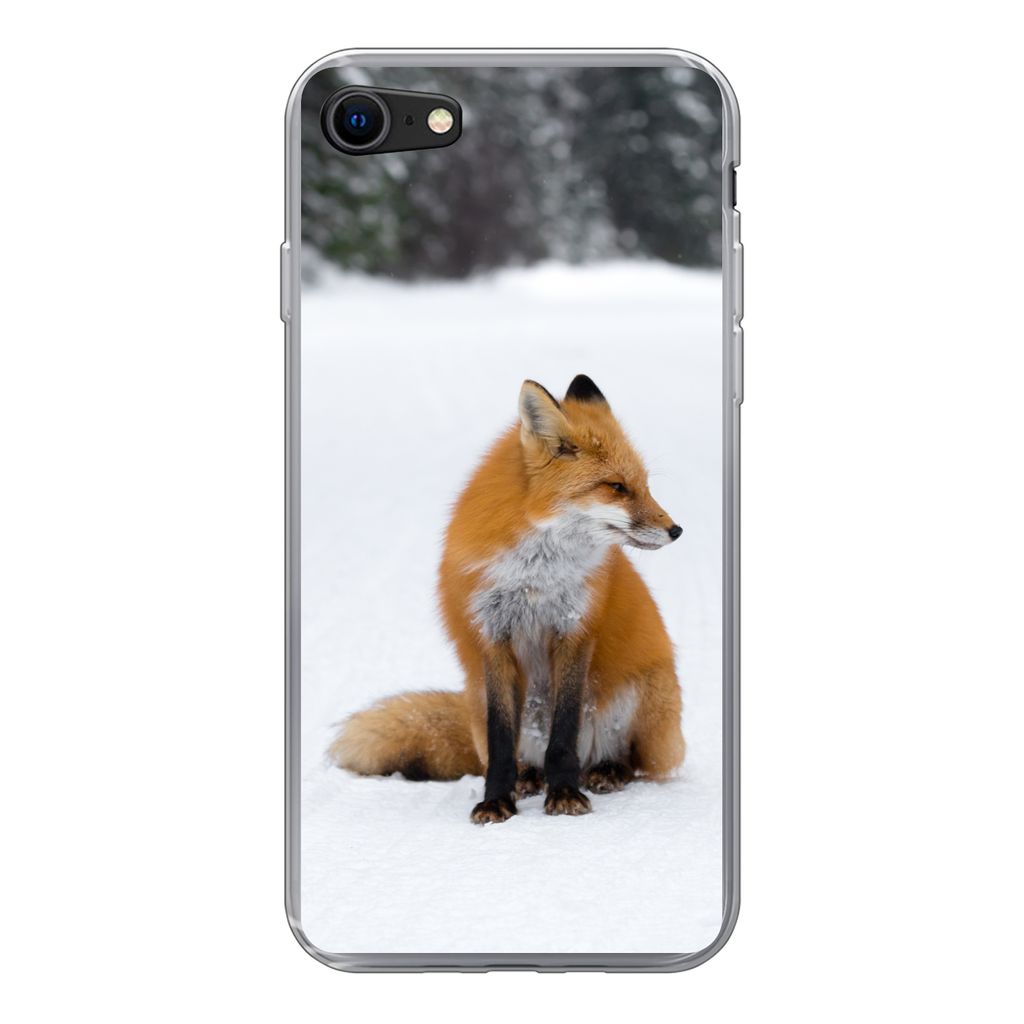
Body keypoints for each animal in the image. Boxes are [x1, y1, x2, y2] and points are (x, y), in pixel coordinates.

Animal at [329, 374, 685, 824]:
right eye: (617, 487)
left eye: (644, 485)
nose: (677, 530)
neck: (534, 577)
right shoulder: (492, 636)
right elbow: (501, 744)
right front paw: (497, 800)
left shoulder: (574, 630)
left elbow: (563, 734)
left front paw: (564, 794)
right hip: (480, 697)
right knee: (519, 755)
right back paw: (529, 777)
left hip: (642, 696)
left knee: (631, 760)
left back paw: (605, 771)